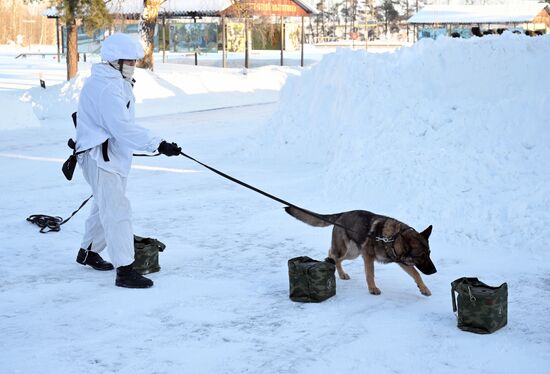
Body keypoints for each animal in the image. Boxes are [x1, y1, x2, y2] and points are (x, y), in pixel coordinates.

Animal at [286, 207, 438, 296]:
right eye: (421, 256)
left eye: (429, 253)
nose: (435, 271)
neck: (393, 238)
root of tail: (342, 214)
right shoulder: (368, 257)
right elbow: (370, 274)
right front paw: (372, 288)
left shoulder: (402, 261)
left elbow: (416, 273)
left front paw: (423, 288)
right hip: (347, 251)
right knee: (333, 255)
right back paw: (336, 269)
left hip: (352, 253)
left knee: (333, 256)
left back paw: (339, 272)